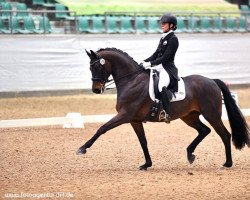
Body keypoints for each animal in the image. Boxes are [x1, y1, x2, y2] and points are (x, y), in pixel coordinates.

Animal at [76, 47, 250, 170]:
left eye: (98, 67)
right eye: (90, 68)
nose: (96, 89)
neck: (131, 80)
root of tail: (212, 81)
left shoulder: (125, 115)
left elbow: (102, 128)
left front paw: (82, 148)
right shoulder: (134, 120)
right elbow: (143, 141)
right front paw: (146, 164)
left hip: (211, 115)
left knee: (225, 135)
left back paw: (227, 163)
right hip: (189, 116)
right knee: (204, 130)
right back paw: (190, 154)